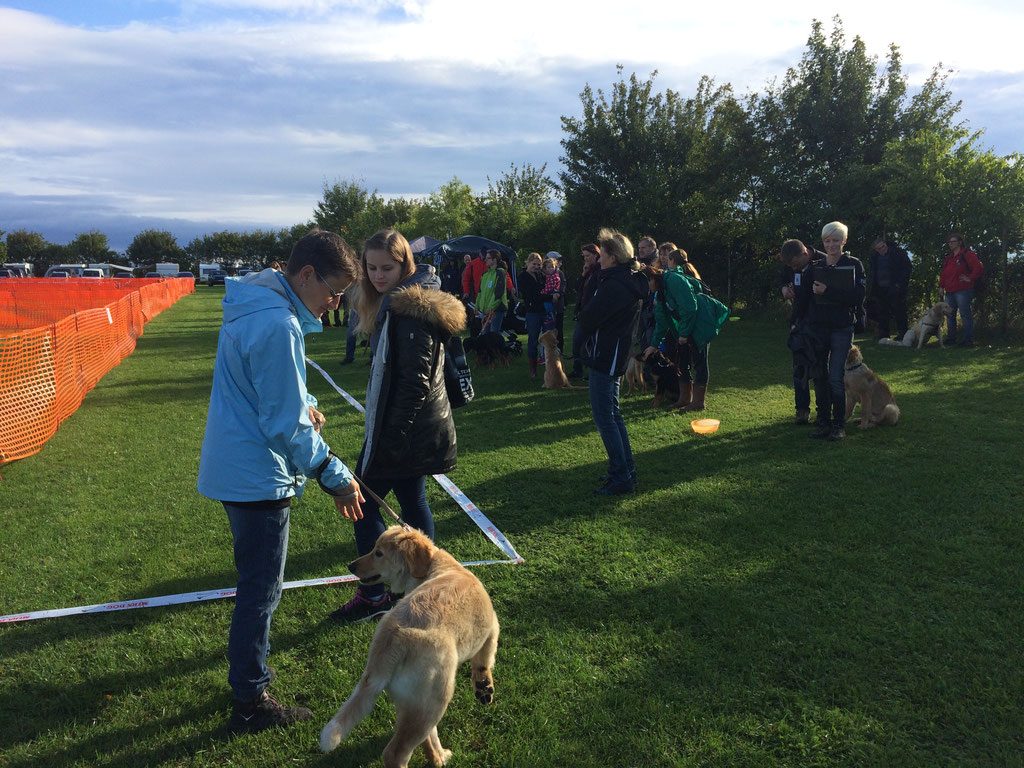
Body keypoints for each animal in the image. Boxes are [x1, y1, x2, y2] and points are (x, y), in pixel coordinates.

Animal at [317, 528, 497, 768]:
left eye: (378, 553)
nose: (350, 567)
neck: (436, 566)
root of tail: (393, 637)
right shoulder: (492, 628)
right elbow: (484, 661)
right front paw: (484, 688)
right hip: (436, 697)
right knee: (396, 752)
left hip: (415, 702)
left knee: (426, 736)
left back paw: (439, 758)